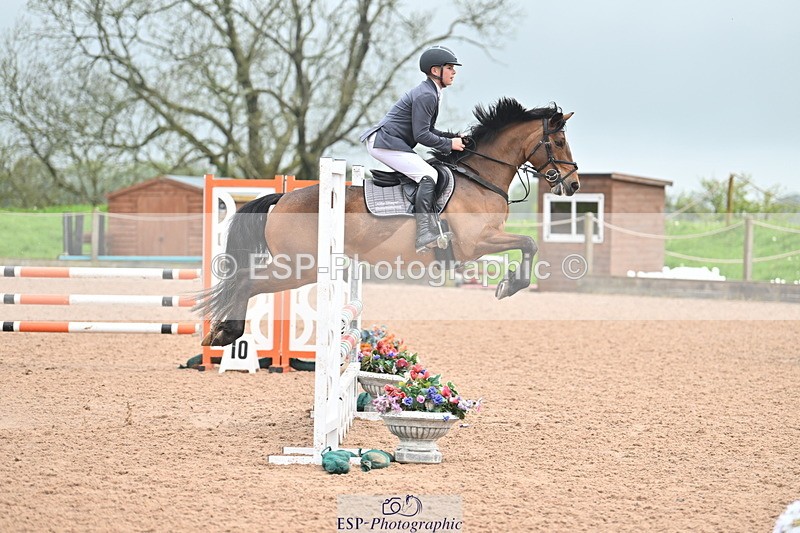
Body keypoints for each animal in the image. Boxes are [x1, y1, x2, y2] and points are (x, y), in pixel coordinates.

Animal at [198, 98, 580, 346]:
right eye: (559, 141)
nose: (573, 184)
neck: (479, 178)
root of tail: (282, 199)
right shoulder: (475, 243)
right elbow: (528, 243)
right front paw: (509, 285)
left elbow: (528, 245)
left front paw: (508, 283)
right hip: (297, 267)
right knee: (246, 281)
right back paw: (225, 333)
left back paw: (219, 332)